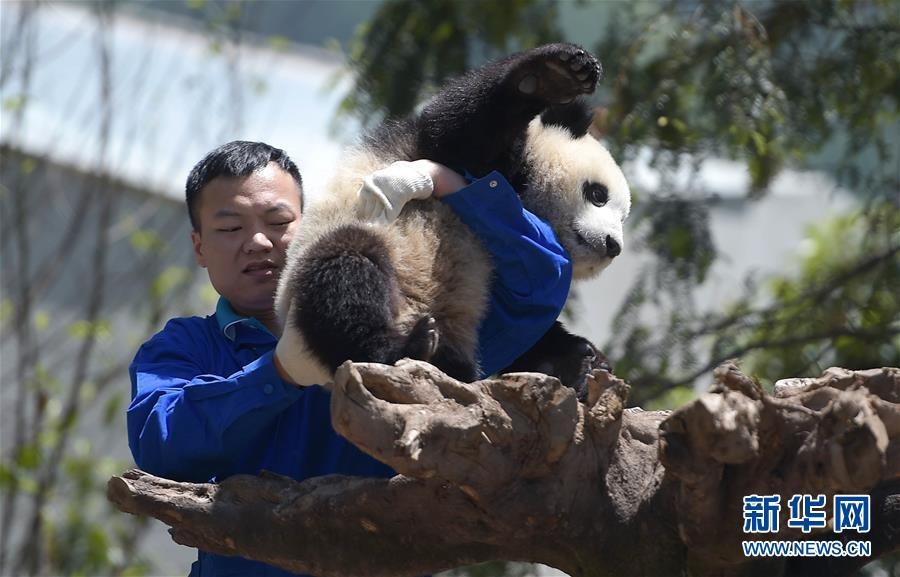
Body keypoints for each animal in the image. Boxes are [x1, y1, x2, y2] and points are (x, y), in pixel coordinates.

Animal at [274, 42, 632, 398]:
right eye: (598, 194)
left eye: (624, 217)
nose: (613, 245)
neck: (526, 195)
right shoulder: (445, 152)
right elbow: (460, 129)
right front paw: (554, 76)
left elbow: (523, 330)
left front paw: (584, 360)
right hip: (340, 254)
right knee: (345, 276)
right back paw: (405, 346)